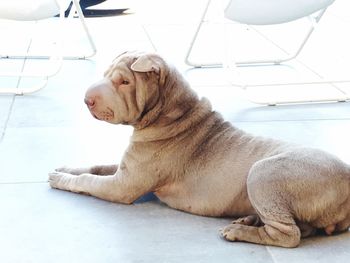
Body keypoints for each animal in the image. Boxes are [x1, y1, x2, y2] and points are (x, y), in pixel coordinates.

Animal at [49, 51, 350, 248]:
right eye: (105, 75)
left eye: (124, 82)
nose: (86, 100)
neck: (171, 113)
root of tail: (347, 177)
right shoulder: (126, 169)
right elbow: (96, 166)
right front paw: (64, 168)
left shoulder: (123, 185)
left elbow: (89, 180)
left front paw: (61, 179)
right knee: (303, 228)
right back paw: (250, 220)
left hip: (263, 173)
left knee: (290, 236)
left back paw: (240, 231)